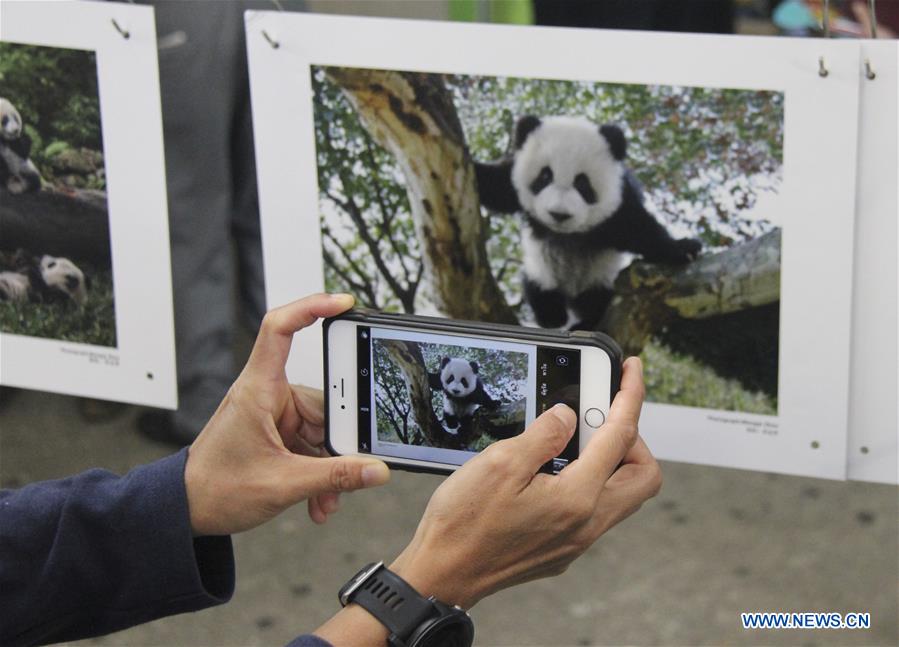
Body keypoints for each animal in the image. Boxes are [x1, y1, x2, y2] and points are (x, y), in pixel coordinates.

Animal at [475, 115, 702, 331]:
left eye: (582, 183)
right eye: (545, 176)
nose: (559, 215)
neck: (567, 234)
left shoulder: (619, 202)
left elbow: (639, 230)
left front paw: (683, 247)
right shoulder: (512, 178)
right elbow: (495, 186)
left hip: (599, 277)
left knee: (596, 300)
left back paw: (584, 321)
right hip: (541, 269)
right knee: (536, 286)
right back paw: (551, 315)